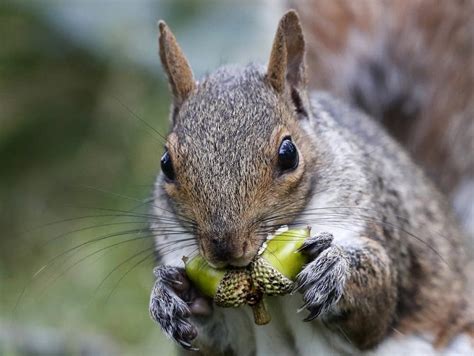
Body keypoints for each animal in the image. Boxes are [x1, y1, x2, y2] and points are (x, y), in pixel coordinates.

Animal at [149, 5, 474, 356]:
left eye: (288, 154)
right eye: (166, 164)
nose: (223, 249)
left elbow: (376, 311)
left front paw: (334, 267)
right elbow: (216, 338)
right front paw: (171, 294)